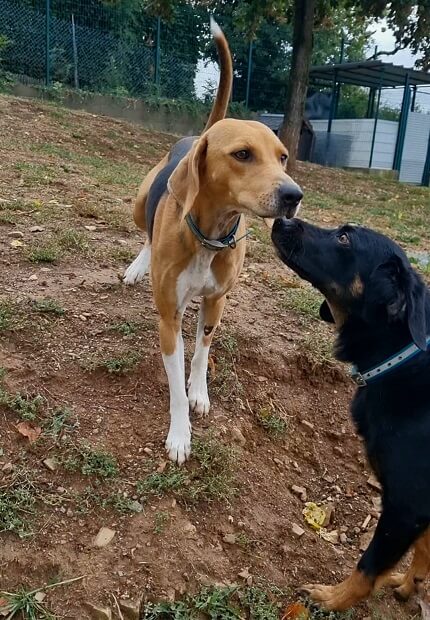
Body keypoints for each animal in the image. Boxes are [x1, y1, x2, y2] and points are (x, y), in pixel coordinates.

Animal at [272, 217, 430, 612]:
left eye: (344, 239)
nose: (282, 218)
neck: (403, 357)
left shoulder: (406, 505)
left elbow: (367, 566)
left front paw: (333, 598)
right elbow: (424, 545)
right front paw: (410, 581)